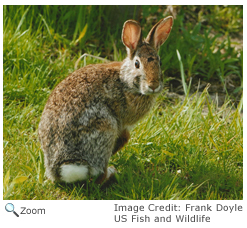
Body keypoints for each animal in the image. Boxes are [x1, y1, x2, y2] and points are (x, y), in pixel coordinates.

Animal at [38, 15, 174, 183]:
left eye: (160, 62)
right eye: (137, 64)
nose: (153, 85)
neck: (125, 81)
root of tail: (60, 169)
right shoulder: (123, 121)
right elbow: (125, 136)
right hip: (104, 127)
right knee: (99, 175)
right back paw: (112, 172)